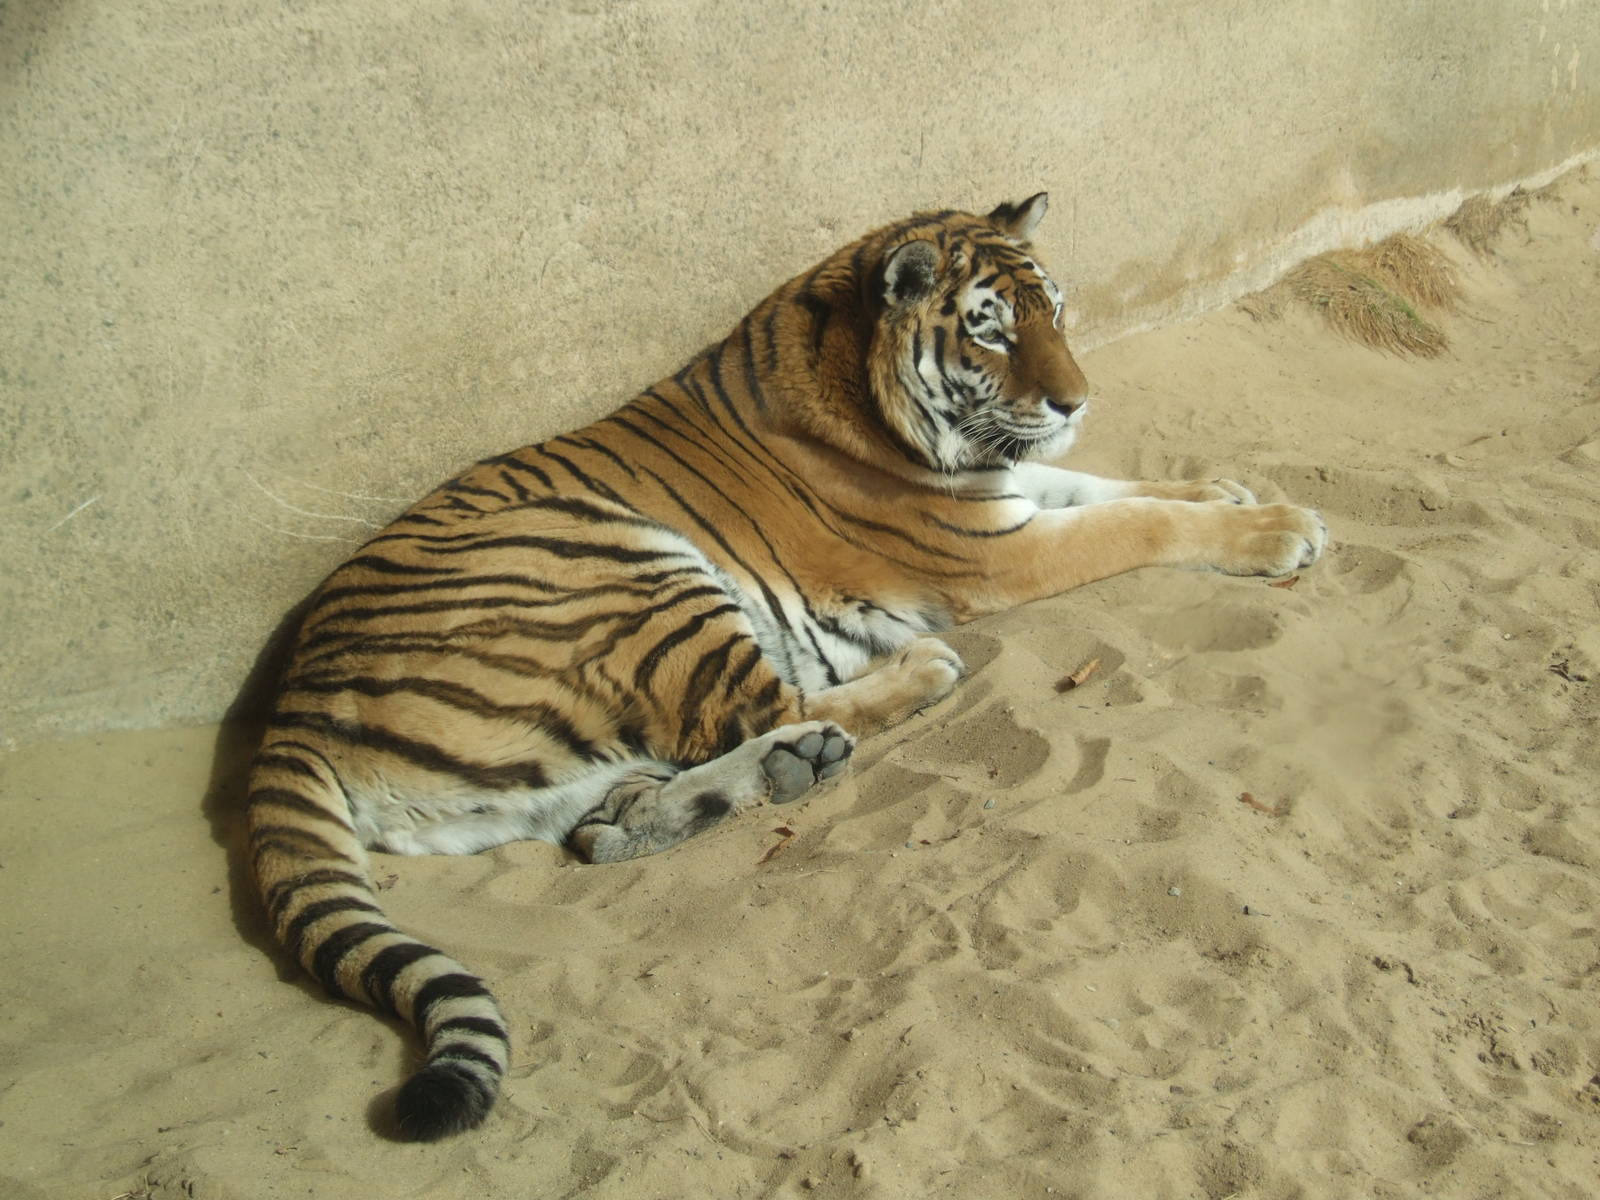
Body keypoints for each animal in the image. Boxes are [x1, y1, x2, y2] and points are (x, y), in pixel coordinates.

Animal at [245, 192, 1326, 1140]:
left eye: (1054, 312)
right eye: (991, 333)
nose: (1075, 400)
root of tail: (290, 705)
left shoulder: (1009, 490)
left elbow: (1103, 481)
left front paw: (1223, 487)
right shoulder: (992, 547)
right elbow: (1130, 519)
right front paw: (1275, 528)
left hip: (549, 764)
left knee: (617, 813)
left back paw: (762, 777)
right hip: (623, 567)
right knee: (772, 701)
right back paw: (905, 680)